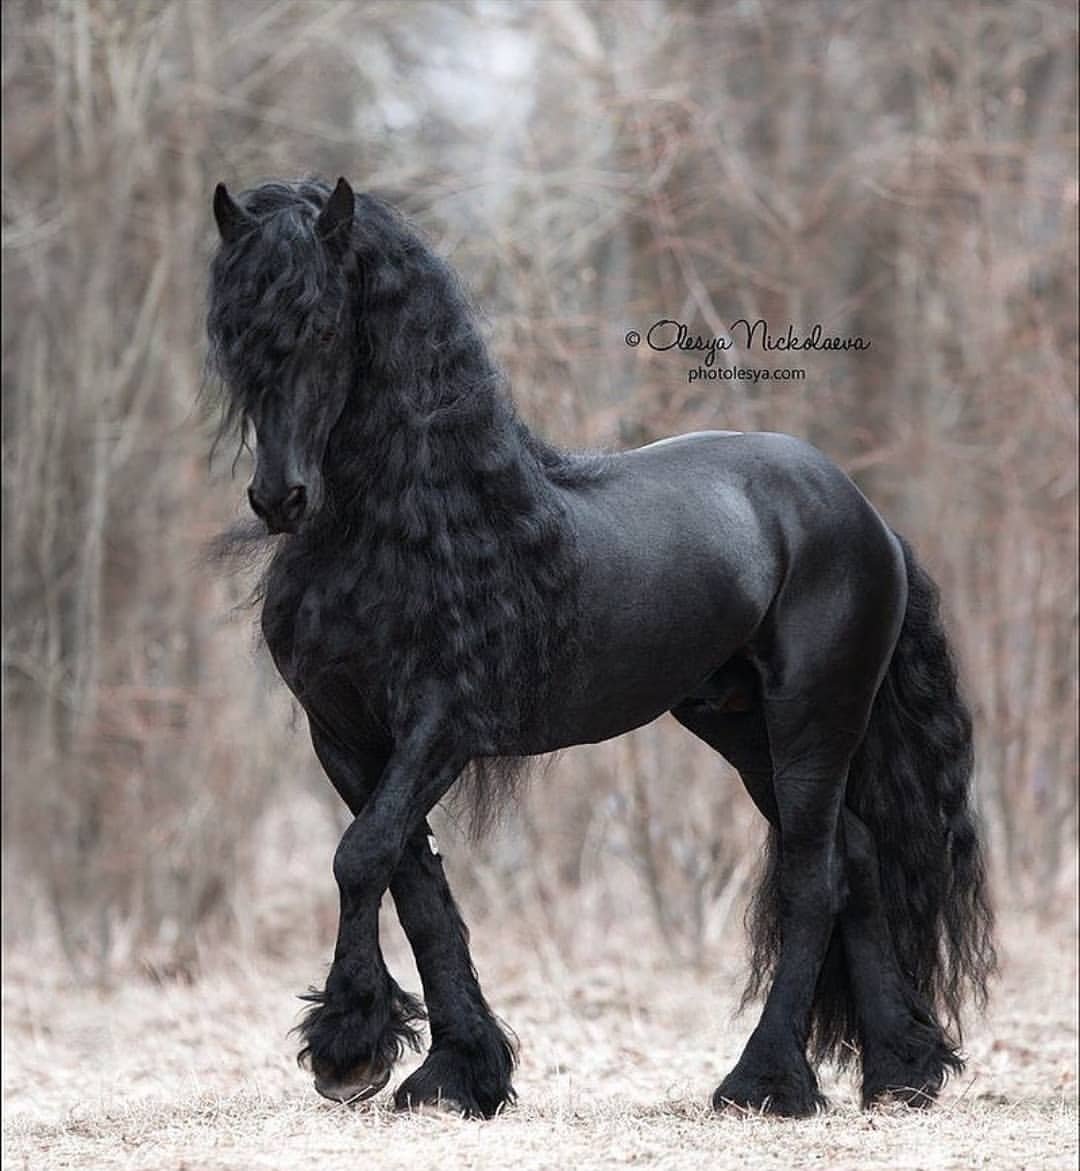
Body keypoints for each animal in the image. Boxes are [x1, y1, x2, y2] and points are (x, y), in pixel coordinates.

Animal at [205, 175, 996, 1119]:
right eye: (231, 330)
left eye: (323, 324)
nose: (279, 497)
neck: (409, 531)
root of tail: (864, 513)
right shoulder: (347, 735)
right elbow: (412, 879)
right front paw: (456, 1071)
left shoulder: (444, 724)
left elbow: (361, 856)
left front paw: (350, 1051)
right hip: (742, 729)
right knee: (862, 859)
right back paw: (899, 1071)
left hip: (812, 719)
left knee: (816, 878)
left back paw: (763, 1081)